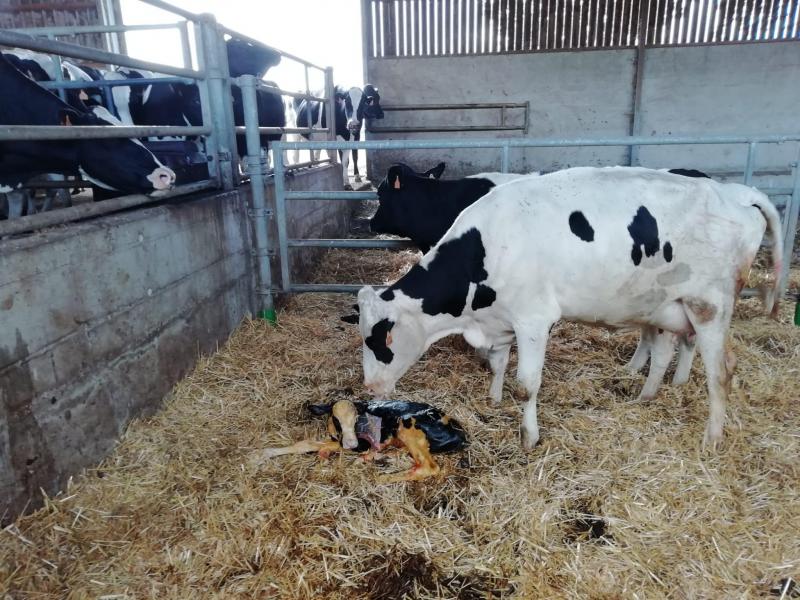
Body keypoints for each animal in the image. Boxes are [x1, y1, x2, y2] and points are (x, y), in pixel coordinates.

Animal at [247, 398, 466, 482]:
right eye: (336, 419)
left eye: (356, 420)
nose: (352, 444)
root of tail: (461, 433)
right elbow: (305, 444)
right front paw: (260, 454)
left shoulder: (361, 443)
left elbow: (313, 444)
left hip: (409, 427)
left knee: (430, 466)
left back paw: (382, 476)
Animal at [356, 166, 780, 448]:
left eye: (380, 340)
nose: (370, 387)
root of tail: (737, 193)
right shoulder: (500, 320)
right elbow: (497, 363)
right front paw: (493, 399)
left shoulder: (533, 320)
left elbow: (527, 384)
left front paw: (529, 436)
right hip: (665, 307)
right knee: (665, 352)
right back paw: (645, 397)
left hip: (708, 306)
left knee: (721, 371)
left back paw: (712, 438)